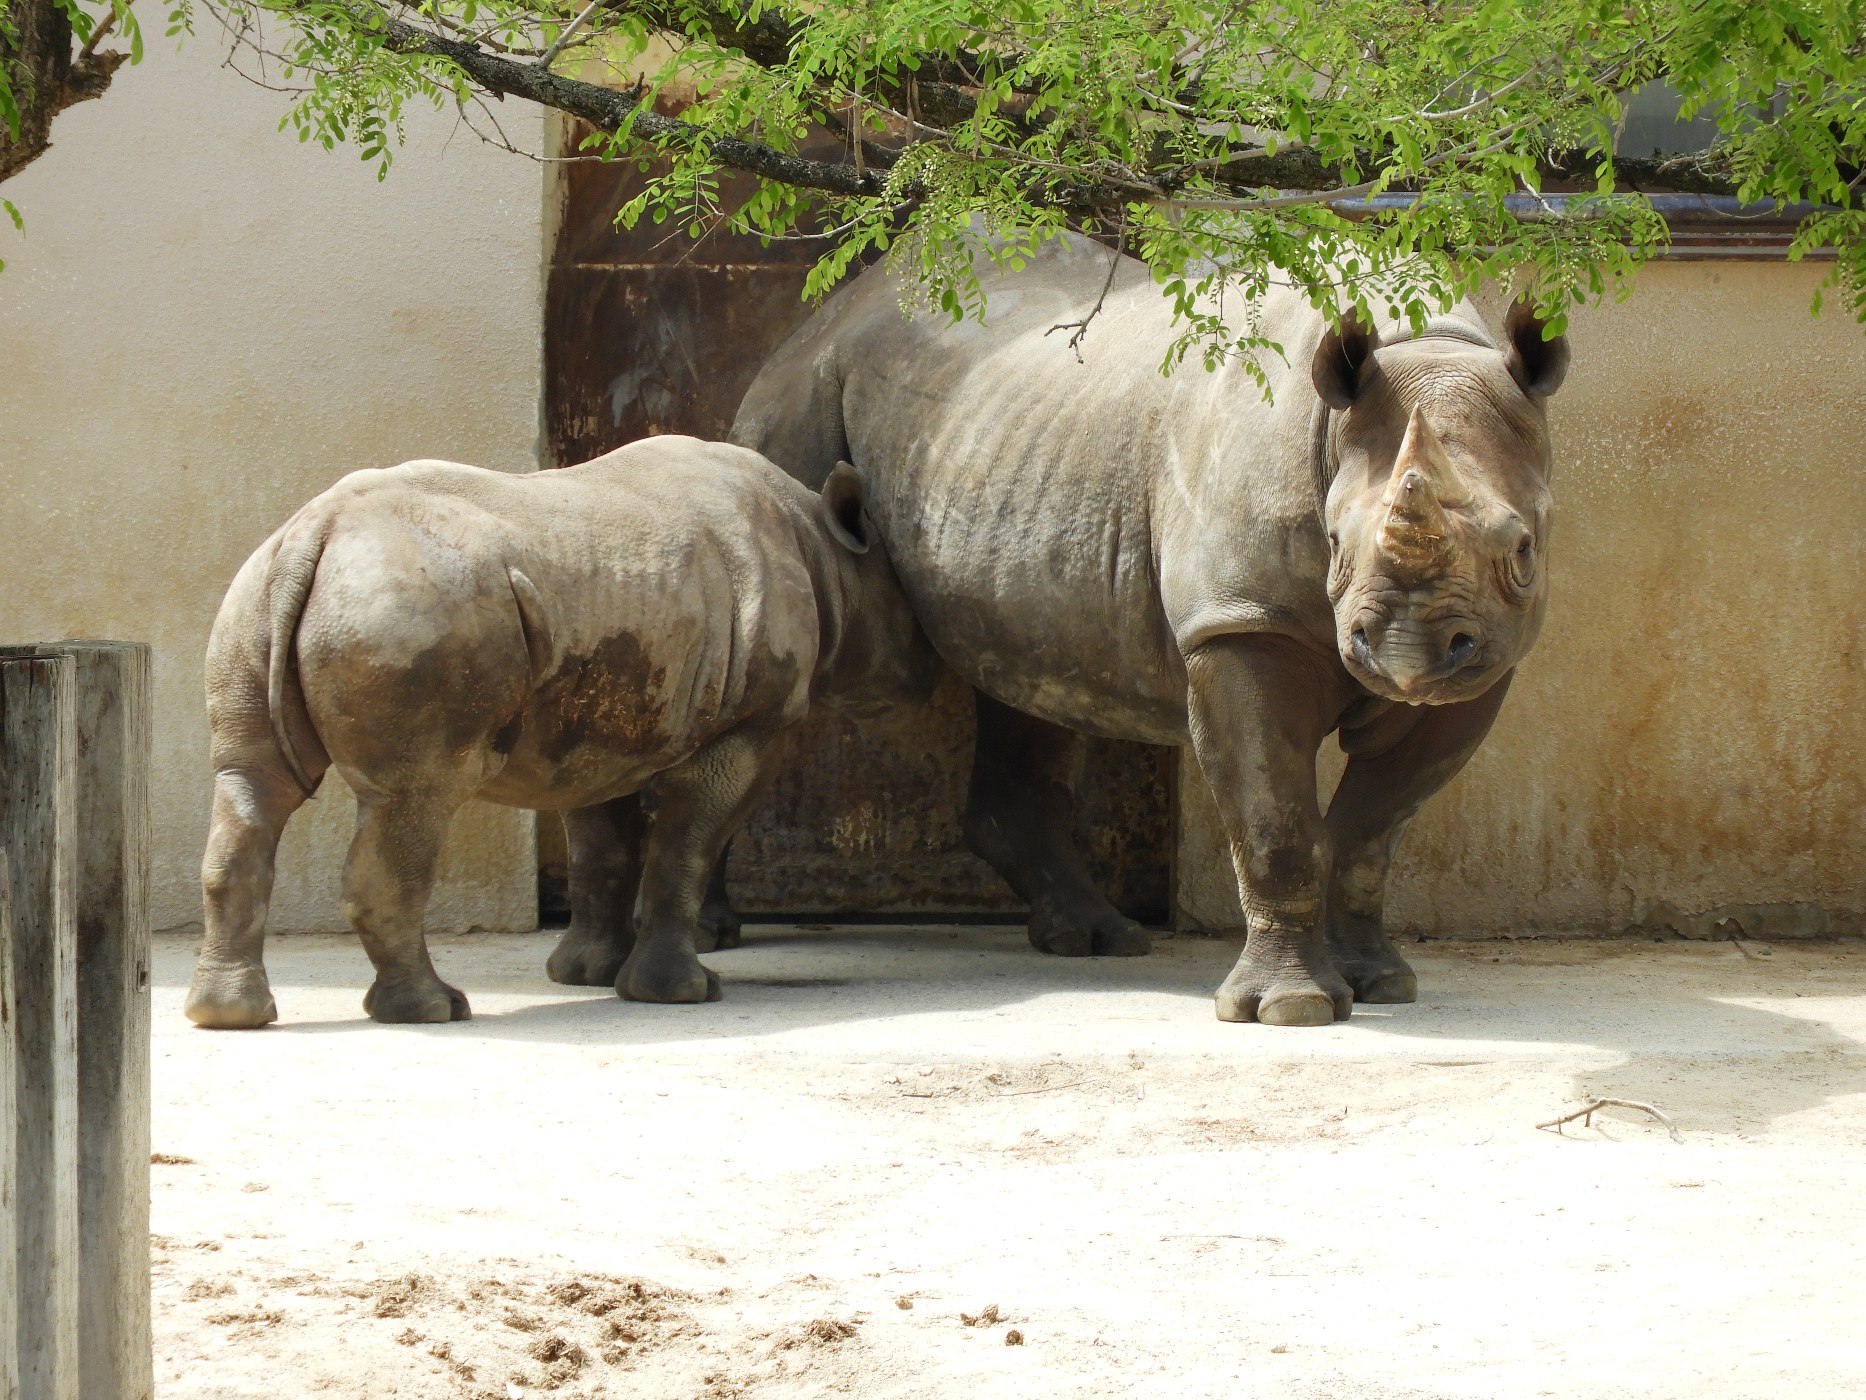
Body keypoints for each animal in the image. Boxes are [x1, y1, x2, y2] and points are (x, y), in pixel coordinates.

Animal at [185, 435, 936, 1028]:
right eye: (911, 619)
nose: (931, 673)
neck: (824, 552)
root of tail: (312, 536)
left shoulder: (600, 725)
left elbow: (603, 847)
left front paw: (586, 975)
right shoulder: (749, 725)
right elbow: (687, 847)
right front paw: (682, 993)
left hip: (256, 599)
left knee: (250, 783)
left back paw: (228, 1017)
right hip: (411, 605)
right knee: (414, 799)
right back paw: (435, 1010)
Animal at [720, 234, 1568, 1026]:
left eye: (1524, 550)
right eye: (1333, 543)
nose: (1404, 658)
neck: (1424, 348)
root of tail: (831, 310)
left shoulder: (1487, 658)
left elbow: (1371, 829)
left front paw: (1382, 983)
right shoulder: (1239, 623)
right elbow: (1276, 821)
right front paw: (1290, 1009)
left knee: (1032, 668)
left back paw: (1096, 938)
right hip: (800, 396)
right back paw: (721, 938)